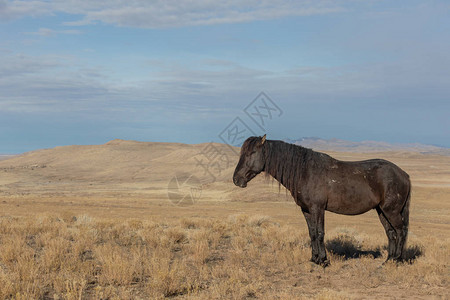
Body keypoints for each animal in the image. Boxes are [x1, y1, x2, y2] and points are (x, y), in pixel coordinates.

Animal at [234, 135, 414, 266]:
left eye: (252, 153)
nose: (236, 179)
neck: (305, 171)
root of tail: (404, 174)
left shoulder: (317, 208)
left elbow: (320, 233)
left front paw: (323, 260)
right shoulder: (306, 210)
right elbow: (312, 233)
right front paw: (314, 259)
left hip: (391, 211)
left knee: (401, 231)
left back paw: (398, 260)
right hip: (381, 210)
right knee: (391, 233)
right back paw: (389, 260)